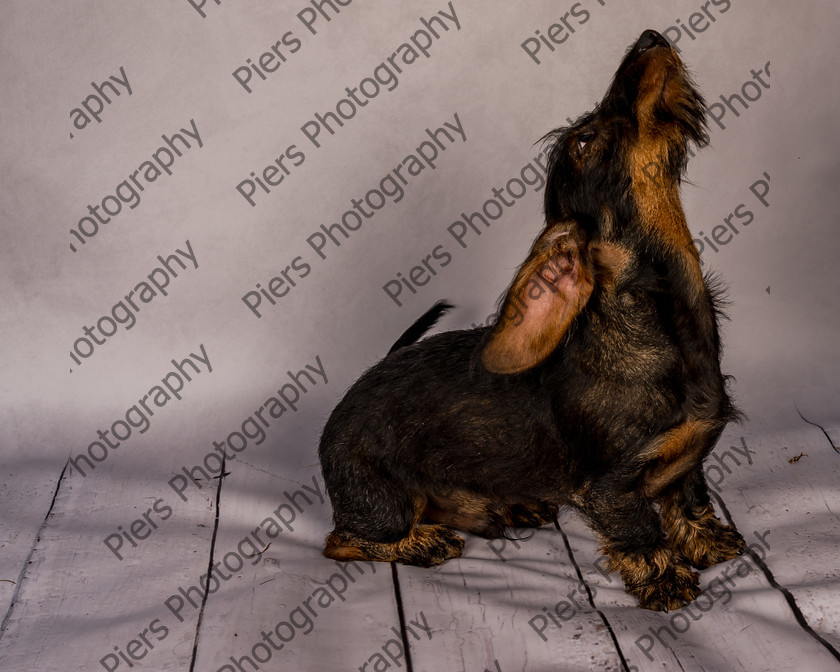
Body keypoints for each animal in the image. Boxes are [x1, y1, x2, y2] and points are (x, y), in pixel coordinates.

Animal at [318, 30, 744, 608]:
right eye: (585, 140)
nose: (649, 38)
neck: (668, 329)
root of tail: (357, 385)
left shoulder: (689, 464)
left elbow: (691, 500)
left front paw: (708, 541)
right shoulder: (610, 488)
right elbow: (639, 530)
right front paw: (665, 578)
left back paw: (509, 506)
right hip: (382, 504)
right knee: (342, 541)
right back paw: (421, 542)